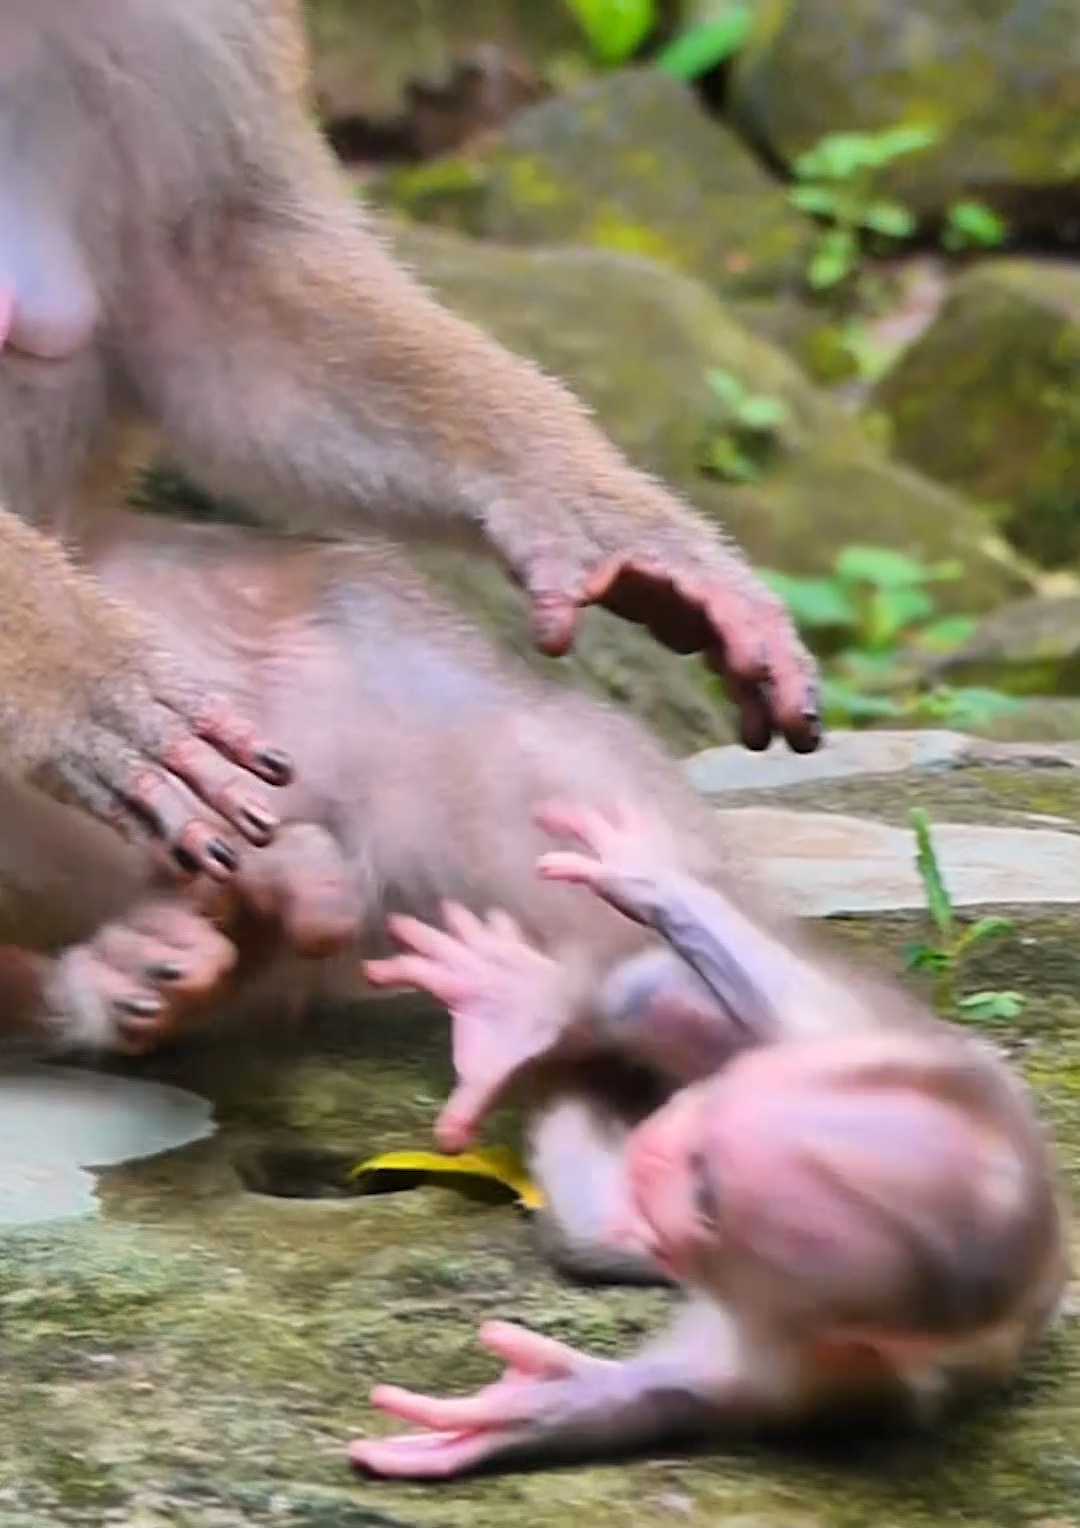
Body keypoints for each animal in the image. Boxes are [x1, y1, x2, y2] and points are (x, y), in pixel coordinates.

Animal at [346, 797, 1069, 1479]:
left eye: (706, 1198)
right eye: (728, 1093)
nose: (655, 1145)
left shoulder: (832, 1361)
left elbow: (695, 1391)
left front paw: (531, 1407)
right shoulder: (884, 1051)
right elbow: (784, 1005)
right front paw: (651, 877)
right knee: (650, 992)